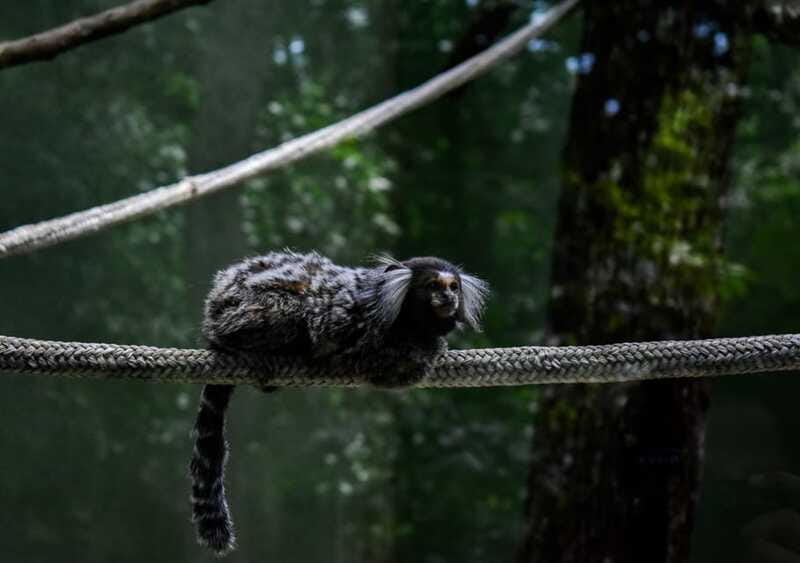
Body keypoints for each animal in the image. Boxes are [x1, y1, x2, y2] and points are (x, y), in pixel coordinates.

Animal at [189, 250, 489, 556]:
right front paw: (433, 348)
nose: (448, 297)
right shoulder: (359, 333)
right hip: (248, 312)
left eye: (453, 287)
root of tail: (212, 321)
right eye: (433, 286)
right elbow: (388, 368)